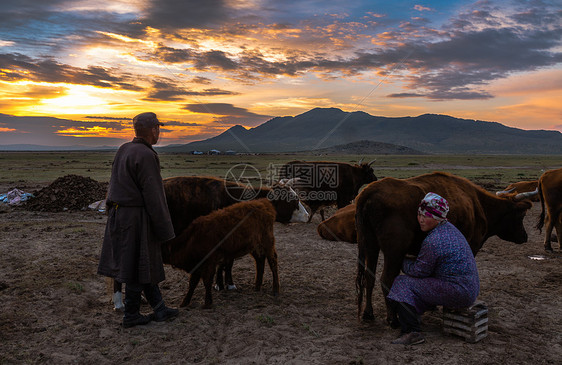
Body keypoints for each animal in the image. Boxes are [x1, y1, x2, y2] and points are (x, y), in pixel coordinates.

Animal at [352, 172, 532, 322]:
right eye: (521, 215)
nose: (525, 237)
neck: (478, 205)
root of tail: (369, 192)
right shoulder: (472, 245)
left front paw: (431, 305)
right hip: (394, 252)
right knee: (386, 279)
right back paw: (392, 319)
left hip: (371, 246)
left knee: (369, 277)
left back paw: (368, 314)